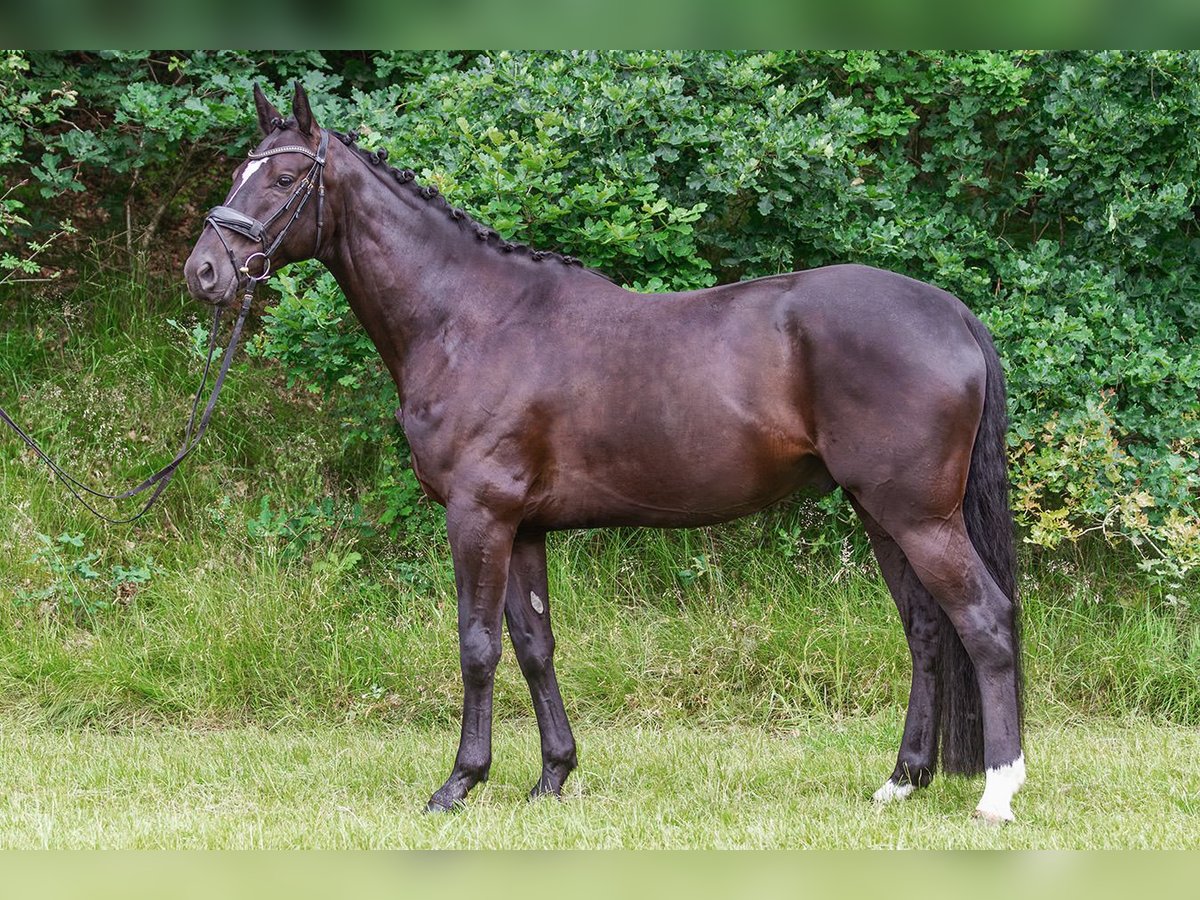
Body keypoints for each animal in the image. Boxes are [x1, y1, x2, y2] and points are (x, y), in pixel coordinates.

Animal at [182, 84, 1027, 825]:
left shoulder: (478, 516)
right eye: (239, 172)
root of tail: (949, 311)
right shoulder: (522, 526)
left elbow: (478, 646)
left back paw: (998, 793)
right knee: (926, 631)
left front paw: (459, 784)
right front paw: (552, 776)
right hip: (881, 515)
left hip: (918, 517)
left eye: (283, 177)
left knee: (985, 621)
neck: (470, 319)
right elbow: (535, 646)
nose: (205, 272)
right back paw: (902, 781)